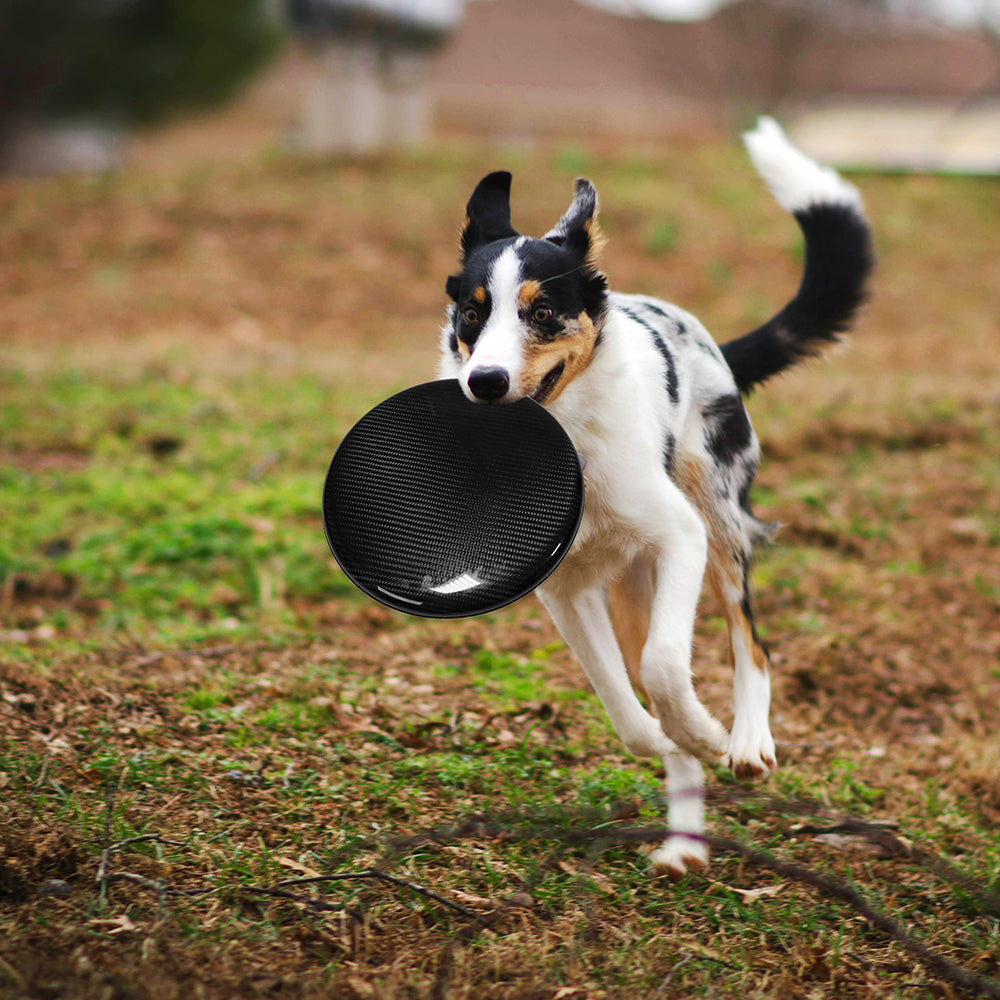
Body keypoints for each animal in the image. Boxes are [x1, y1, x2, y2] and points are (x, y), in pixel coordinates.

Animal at [434, 121, 872, 876]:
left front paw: (707, 733)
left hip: (716, 523)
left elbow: (666, 669)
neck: (567, 448)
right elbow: (626, 705)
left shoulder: (678, 537)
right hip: (635, 587)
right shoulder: (566, 591)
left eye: (542, 312)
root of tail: (711, 345)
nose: (484, 381)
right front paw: (675, 742)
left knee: (751, 644)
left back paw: (745, 742)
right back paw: (685, 839)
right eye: (471, 313)